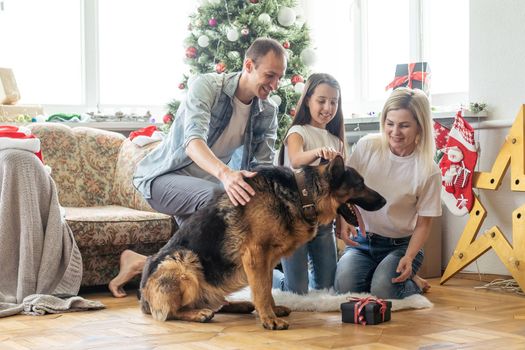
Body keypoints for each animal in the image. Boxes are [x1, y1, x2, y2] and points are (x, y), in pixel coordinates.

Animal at [139, 157, 384, 330]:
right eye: (360, 184)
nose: (384, 201)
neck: (302, 194)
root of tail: (143, 295)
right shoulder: (256, 255)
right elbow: (262, 290)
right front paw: (269, 319)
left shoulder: (267, 260)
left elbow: (266, 287)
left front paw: (272, 311)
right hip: (183, 263)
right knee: (171, 312)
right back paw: (198, 314)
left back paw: (236, 305)